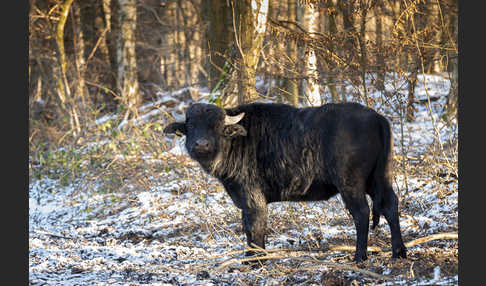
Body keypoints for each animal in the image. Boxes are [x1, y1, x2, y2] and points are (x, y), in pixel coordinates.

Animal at [163, 102, 406, 262]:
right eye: (191, 126)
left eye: (216, 126)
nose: (200, 144)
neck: (237, 142)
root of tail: (377, 118)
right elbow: (247, 228)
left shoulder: (253, 198)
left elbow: (255, 228)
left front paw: (255, 261)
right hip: (378, 179)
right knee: (390, 205)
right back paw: (399, 252)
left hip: (351, 183)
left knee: (362, 213)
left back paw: (359, 256)